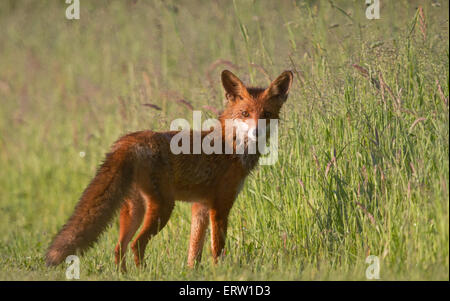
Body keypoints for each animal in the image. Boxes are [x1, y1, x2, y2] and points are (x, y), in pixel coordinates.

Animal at [44, 69, 292, 270]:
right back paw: (142, 274)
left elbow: (194, 250)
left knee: (119, 247)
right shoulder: (220, 206)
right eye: (245, 114)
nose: (256, 132)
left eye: (266, 115)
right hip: (163, 207)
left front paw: (193, 272)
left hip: (135, 210)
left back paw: (124, 275)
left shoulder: (201, 206)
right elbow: (217, 248)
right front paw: (219, 272)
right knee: (136, 245)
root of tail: (129, 140)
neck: (231, 145)